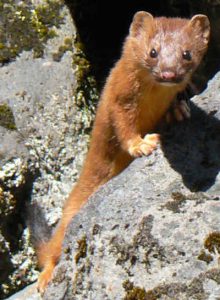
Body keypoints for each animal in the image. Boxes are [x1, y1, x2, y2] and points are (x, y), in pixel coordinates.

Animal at [37, 10, 211, 292]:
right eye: (153, 51)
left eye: (187, 53)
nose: (168, 73)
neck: (153, 99)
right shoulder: (118, 99)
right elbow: (123, 126)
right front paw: (142, 144)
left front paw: (177, 109)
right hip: (69, 216)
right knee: (52, 249)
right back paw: (45, 278)